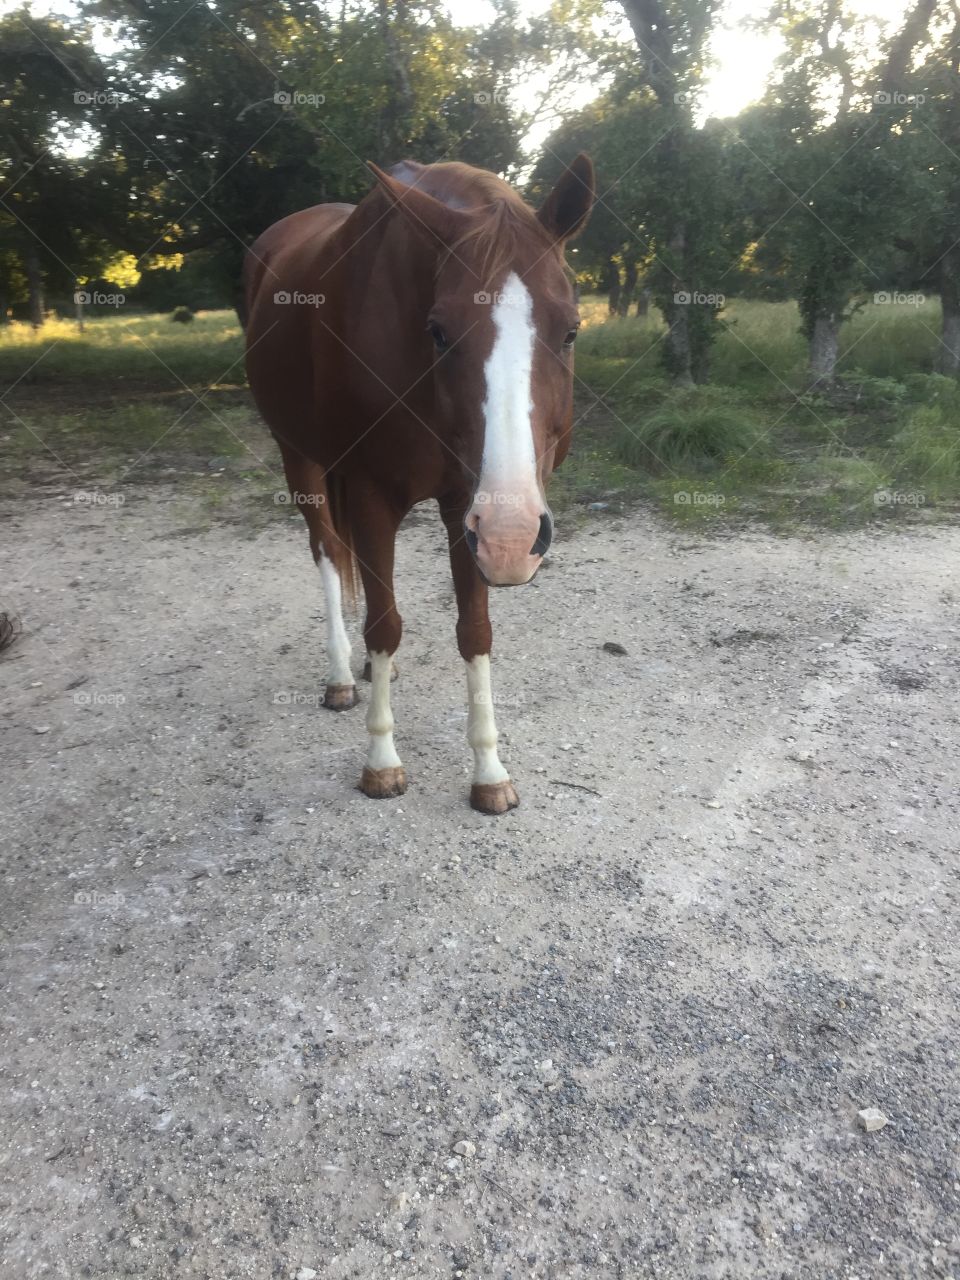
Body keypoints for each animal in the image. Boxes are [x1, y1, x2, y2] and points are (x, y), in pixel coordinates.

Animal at [243, 154, 594, 814]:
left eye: (570, 331)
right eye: (439, 331)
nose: (514, 540)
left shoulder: (465, 505)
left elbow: (474, 630)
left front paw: (489, 771)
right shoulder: (373, 494)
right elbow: (385, 623)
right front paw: (381, 761)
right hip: (298, 457)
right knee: (328, 552)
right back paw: (340, 675)